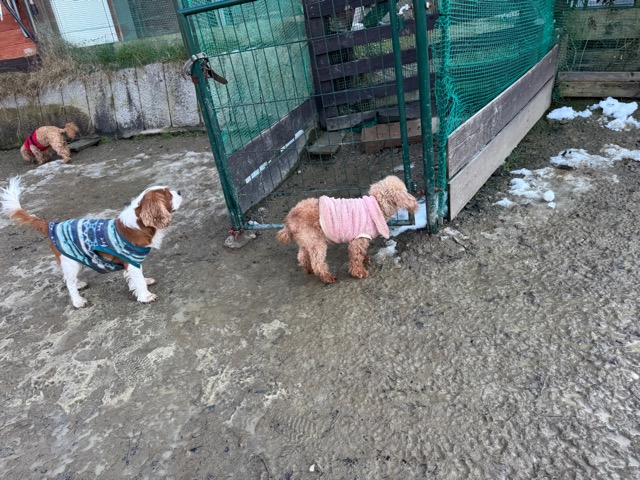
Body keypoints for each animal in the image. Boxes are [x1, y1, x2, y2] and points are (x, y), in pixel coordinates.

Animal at [0, 177, 183, 308]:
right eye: (168, 194)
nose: (180, 191)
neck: (139, 225)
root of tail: (52, 225)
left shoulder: (135, 262)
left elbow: (139, 277)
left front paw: (145, 282)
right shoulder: (131, 262)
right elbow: (137, 280)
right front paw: (146, 296)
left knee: (68, 278)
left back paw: (79, 284)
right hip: (71, 262)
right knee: (70, 283)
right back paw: (78, 301)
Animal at [276, 175, 418, 284]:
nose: (414, 202)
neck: (378, 205)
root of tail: (289, 219)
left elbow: (361, 253)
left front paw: (365, 259)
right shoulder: (359, 239)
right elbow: (356, 257)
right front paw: (359, 272)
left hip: (307, 241)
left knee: (302, 256)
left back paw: (308, 268)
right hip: (317, 243)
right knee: (317, 263)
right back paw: (327, 277)